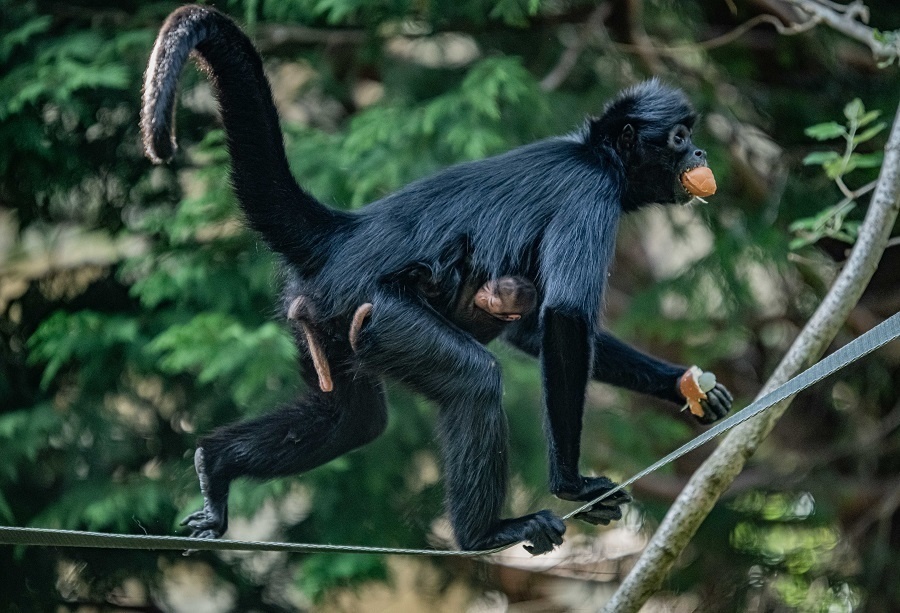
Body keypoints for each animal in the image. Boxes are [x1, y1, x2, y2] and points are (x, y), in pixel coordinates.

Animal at [141, 4, 732, 556]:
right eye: (680, 138)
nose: (701, 152)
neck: (596, 154)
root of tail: (345, 234)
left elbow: (532, 329)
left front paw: (684, 383)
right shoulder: (592, 195)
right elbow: (563, 317)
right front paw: (573, 484)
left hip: (318, 314)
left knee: (353, 419)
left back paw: (215, 467)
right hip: (380, 310)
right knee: (473, 380)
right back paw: (483, 535)